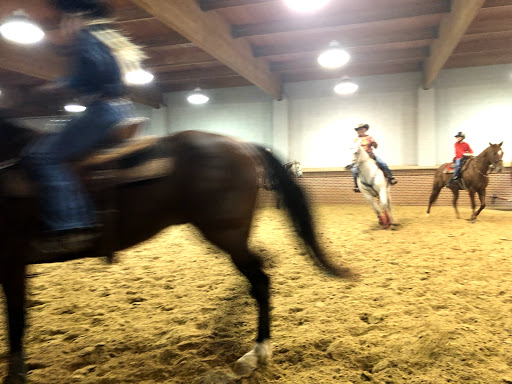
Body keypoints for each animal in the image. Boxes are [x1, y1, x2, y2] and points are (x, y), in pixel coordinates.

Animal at [0, 118, 354, 382]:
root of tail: (242, 145)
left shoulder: (11, 261)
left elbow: (16, 318)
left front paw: (15, 374)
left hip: (226, 234)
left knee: (260, 280)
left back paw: (257, 352)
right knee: (259, 271)